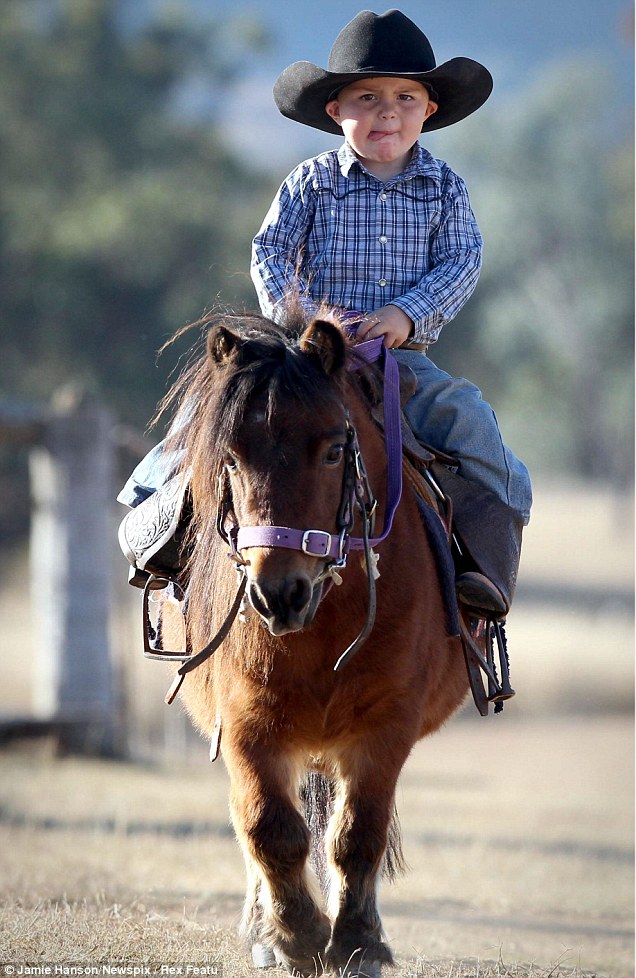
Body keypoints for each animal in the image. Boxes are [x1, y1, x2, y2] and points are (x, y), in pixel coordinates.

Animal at [159, 310, 468, 976]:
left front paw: (357, 941)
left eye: (332, 450)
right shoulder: (246, 724)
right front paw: (296, 937)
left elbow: (357, 836)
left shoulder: (386, 726)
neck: (326, 620)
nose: (279, 592)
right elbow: (268, 827)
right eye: (230, 457)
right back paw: (264, 931)